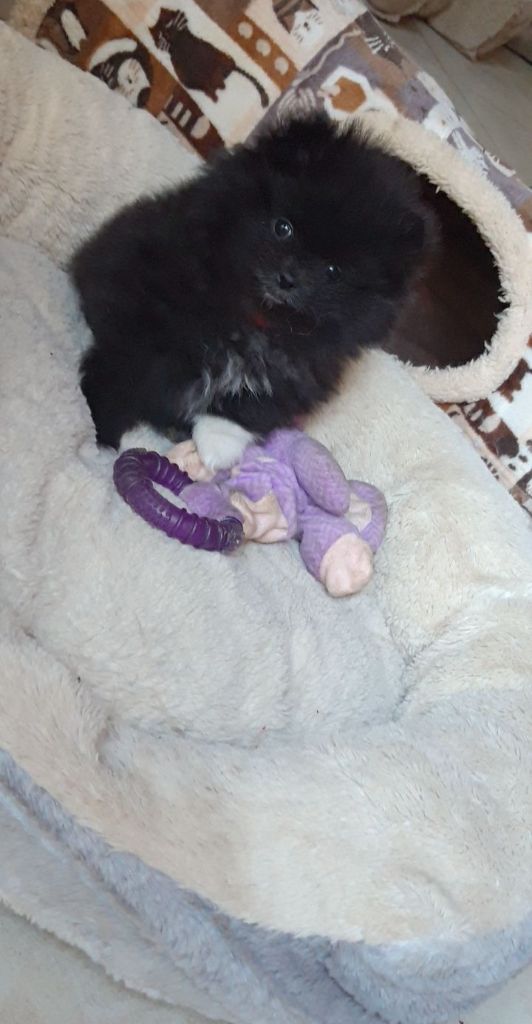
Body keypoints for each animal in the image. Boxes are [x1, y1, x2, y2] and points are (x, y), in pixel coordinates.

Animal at [71, 114, 434, 470]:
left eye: (333, 272)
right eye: (283, 228)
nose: (288, 278)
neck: (254, 316)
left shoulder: (297, 374)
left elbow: (251, 406)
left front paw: (218, 443)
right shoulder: (143, 330)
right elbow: (117, 378)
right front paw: (97, 440)